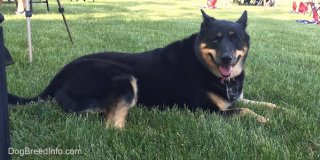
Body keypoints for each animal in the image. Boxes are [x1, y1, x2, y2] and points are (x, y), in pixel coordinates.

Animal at [8, 10, 276, 128]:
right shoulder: (207, 110)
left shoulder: (235, 97)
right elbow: (244, 110)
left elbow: (256, 102)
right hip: (124, 78)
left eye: (235, 39)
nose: (227, 59)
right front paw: (263, 119)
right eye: (215, 39)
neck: (202, 63)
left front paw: (278, 108)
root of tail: (59, 77)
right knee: (111, 124)